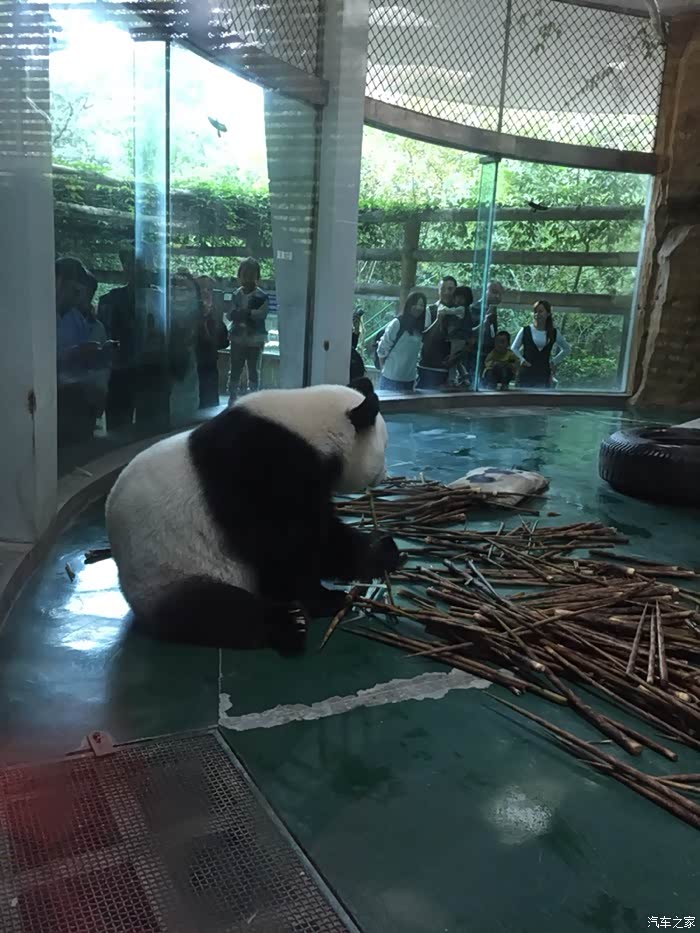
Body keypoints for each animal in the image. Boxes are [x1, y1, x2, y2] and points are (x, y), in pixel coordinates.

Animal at [105, 378, 400, 654]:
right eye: (385, 447)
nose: (385, 473)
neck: (308, 430)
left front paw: (382, 547)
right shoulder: (262, 471)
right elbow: (292, 544)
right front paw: (329, 596)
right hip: (170, 572)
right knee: (214, 611)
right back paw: (288, 623)